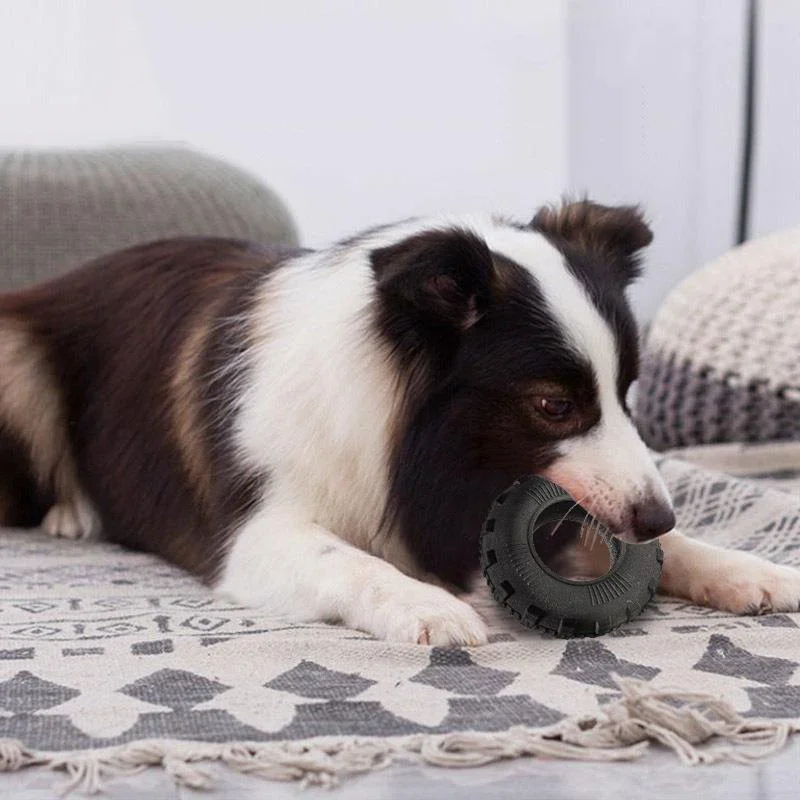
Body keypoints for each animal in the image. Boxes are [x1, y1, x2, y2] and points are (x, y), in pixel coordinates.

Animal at [0, 200, 796, 644]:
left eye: (629, 390)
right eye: (554, 406)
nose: (658, 517)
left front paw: (742, 568)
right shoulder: (254, 536)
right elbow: (350, 560)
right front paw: (427, 605)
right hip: (18, 361)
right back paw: (71, 512)